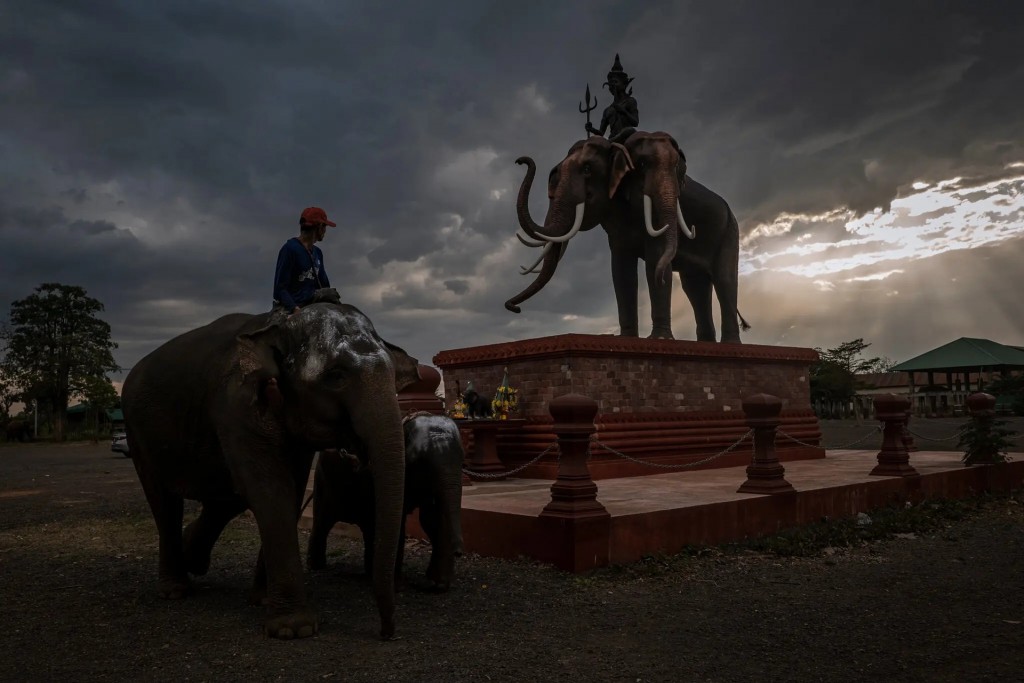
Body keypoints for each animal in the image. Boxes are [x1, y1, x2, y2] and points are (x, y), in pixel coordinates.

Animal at [303, 413, 464, 589]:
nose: (458, 552)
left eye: (462, 462)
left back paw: (369, 572)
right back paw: (316, 566)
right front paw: (397, 586)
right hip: (323, 481)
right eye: (422, 463)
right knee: (322, 521)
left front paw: (439, 585)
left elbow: (431, 518)